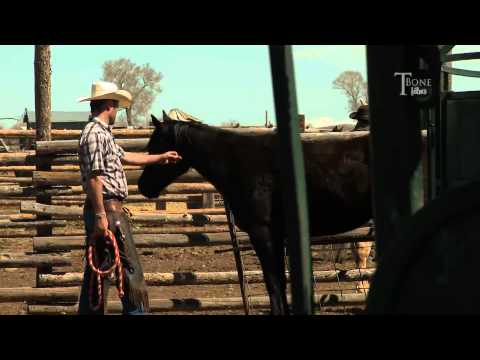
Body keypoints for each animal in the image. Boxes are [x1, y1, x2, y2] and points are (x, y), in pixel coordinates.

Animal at [139, 111, 372, 314]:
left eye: (155, 147)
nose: (143, 186)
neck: (239, 164)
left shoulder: (263, 233)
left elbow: (274, 284)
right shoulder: (276, 236)